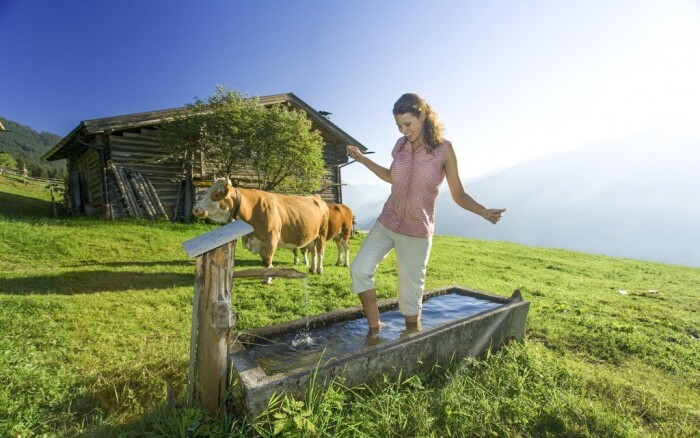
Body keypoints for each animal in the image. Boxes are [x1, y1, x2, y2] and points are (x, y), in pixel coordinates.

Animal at [191, 179, 330, 278]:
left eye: (216, 194)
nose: (195, 209)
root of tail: (316, 197)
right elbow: (264, 262)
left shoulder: (272, 238)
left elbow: (268, 261)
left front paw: (268, 280)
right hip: (313, 236)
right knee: (314, 252)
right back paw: (312, 269)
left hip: (322, 234)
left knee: (321, 252)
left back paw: (320, 270)